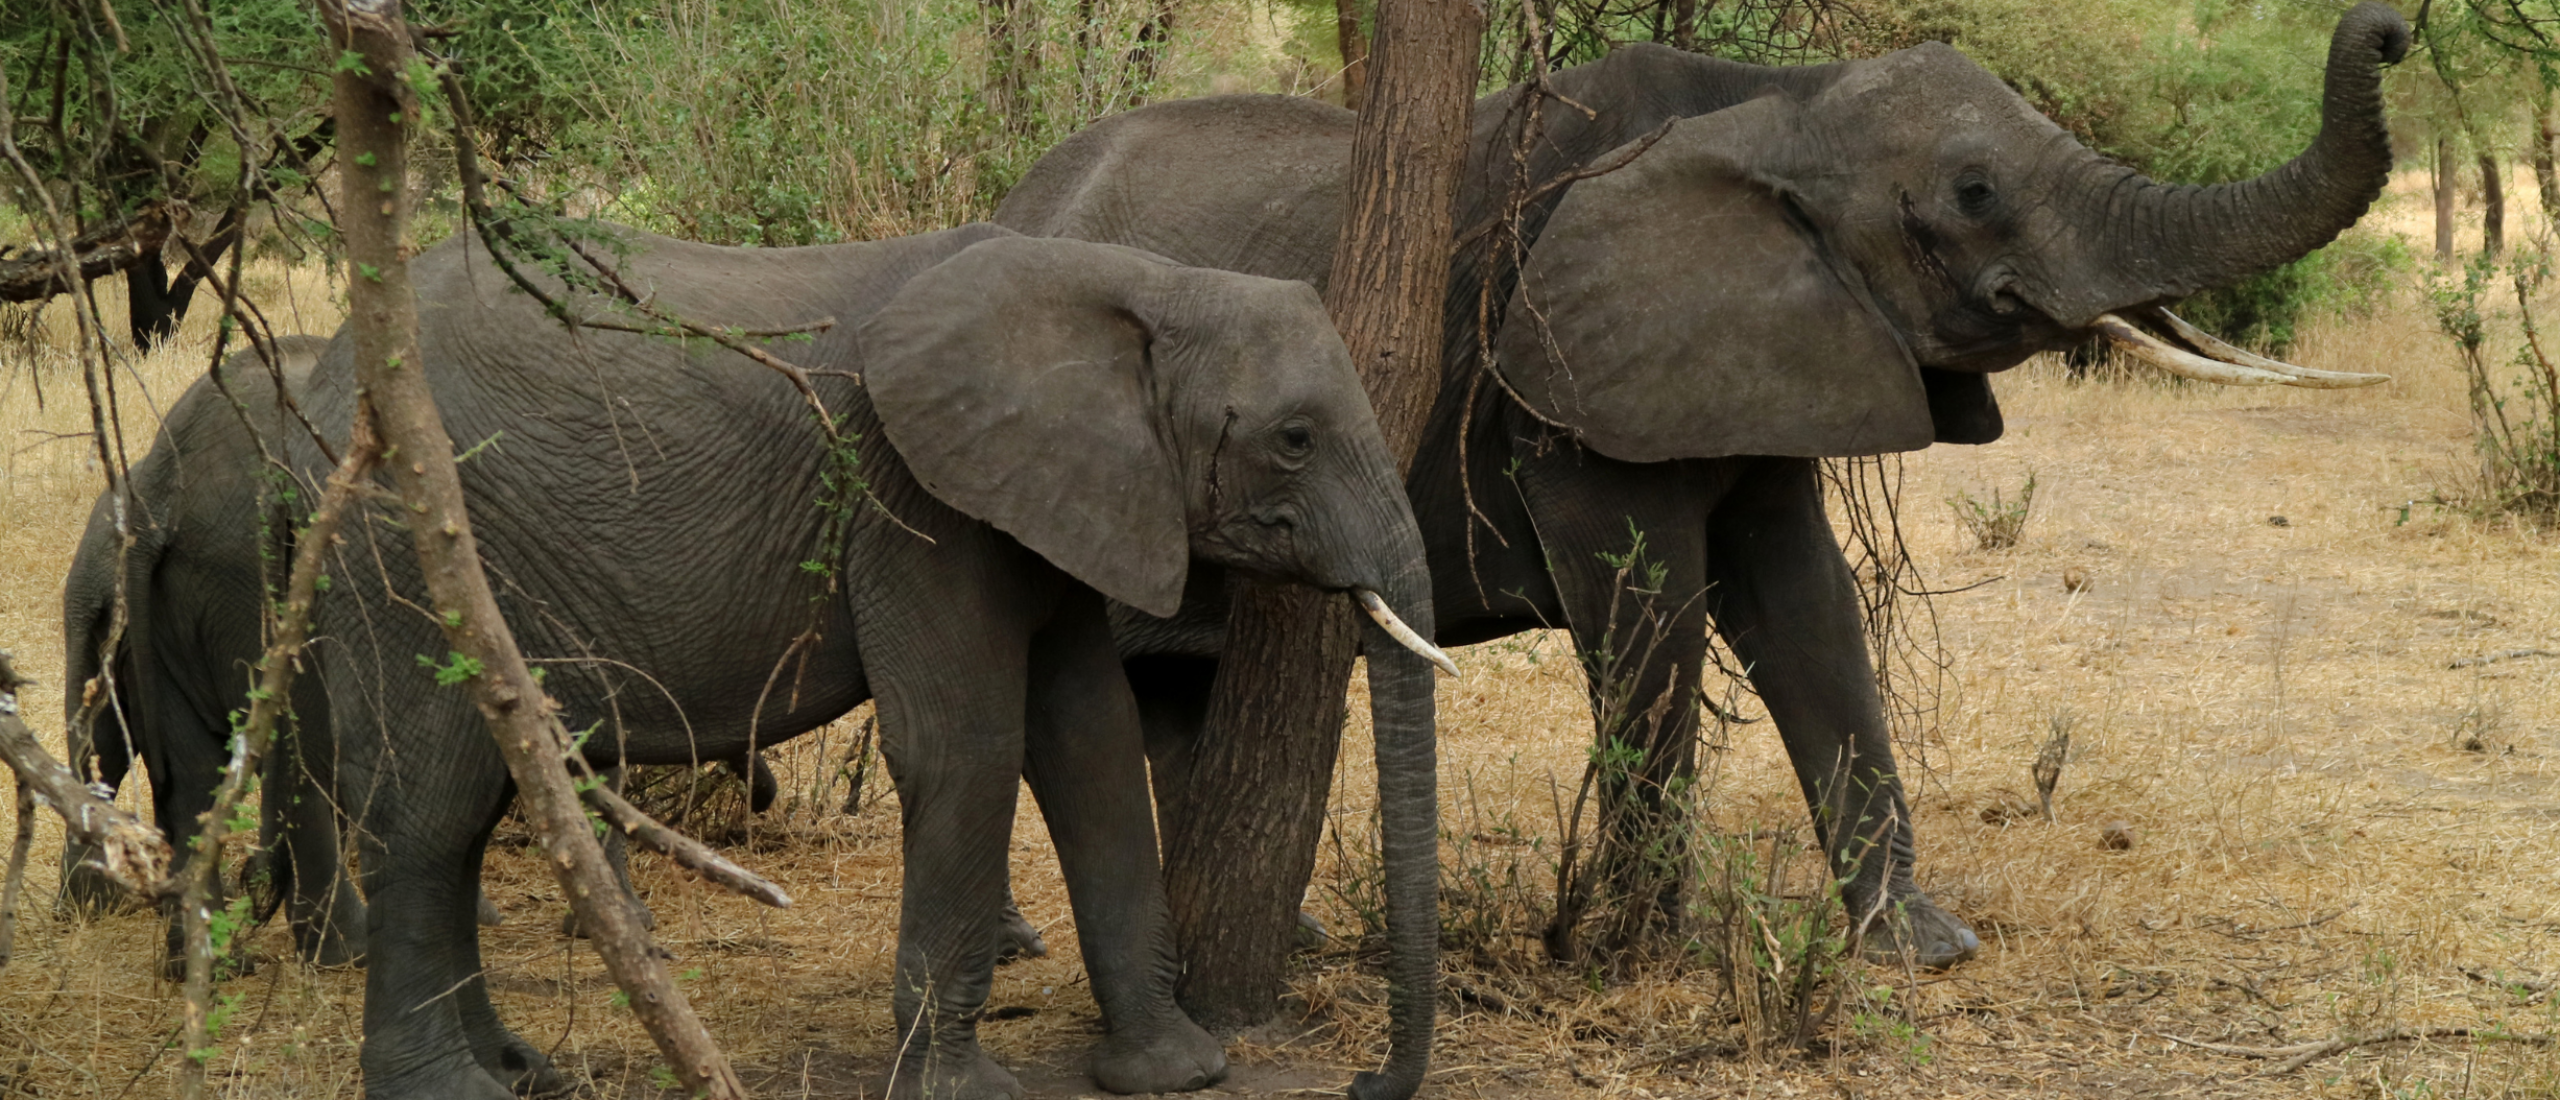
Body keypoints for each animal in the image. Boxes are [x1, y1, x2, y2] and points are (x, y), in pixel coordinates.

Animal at [277, 223, 1443, 1100]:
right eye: (1295, 439)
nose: (1361, 1083)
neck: (1134, 283)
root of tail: (329, 372)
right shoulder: (918, 502)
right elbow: (964, 749)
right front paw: (964, 1090)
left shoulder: (1056, 497)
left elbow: (1090, 741)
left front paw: (1175, 1072)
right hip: (412, 544)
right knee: (432, 807)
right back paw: (449, 1089)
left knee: (470, 811)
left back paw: (521, 1069)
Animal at [1003, 0, 2416, 966]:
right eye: (1972, 192)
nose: (2393, 31)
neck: (1778, 102)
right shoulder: (1567, 377)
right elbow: (1652, 613)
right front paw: (1638, 950)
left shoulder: (1762, 351)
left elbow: (1808, 605)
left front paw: (1918, 946)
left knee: (1172, 688)